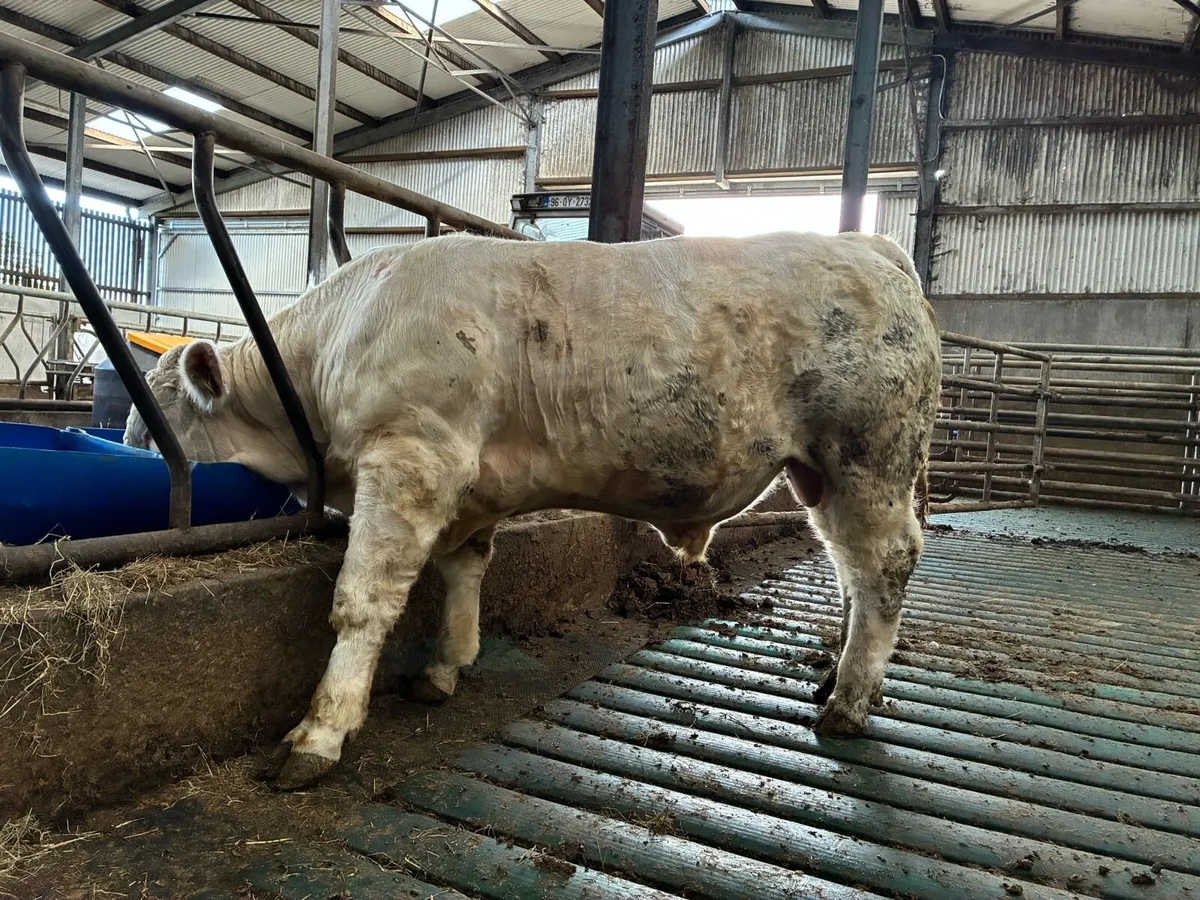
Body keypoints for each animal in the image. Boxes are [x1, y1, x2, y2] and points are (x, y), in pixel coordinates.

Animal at [125, 231, 941, 789]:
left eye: (160, 420)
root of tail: (867, 244)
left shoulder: (411, 458)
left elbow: (363, 601)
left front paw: (319, 734)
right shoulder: (469, 485)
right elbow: (464, 571)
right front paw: (445, 667)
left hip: (867, 457)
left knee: (883, 565)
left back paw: (848, 702)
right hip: (821, 474)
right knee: (850, 570)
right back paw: (836, 677)